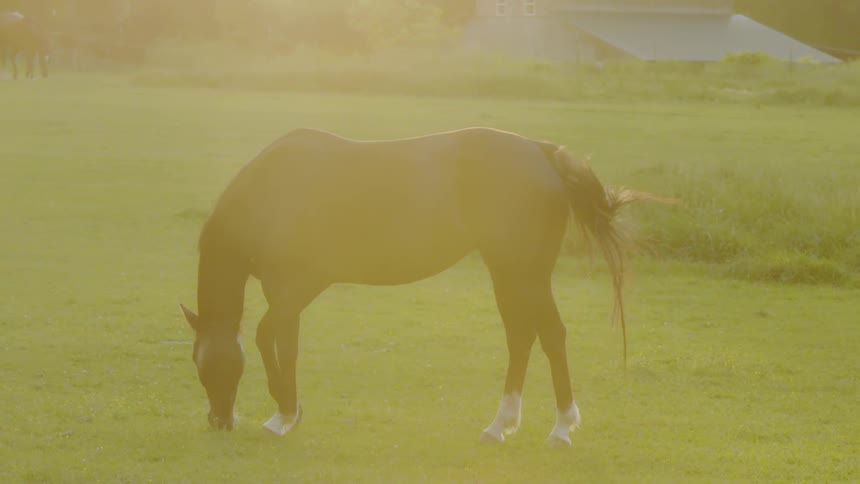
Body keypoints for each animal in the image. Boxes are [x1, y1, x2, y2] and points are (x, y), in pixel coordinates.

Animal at [179, 127, 670, 445]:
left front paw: (282, 414)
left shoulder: (294, 289)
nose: (219, 420)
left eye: (207, 367)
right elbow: (284, 344)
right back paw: (501, 425)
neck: (272, 191)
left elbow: (268, 338)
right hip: (510, 274)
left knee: (550, 336)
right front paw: (288, 412)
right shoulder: (290, 296)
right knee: (521, 337)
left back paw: (562, 426)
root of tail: (542, 151)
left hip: (524, 273)